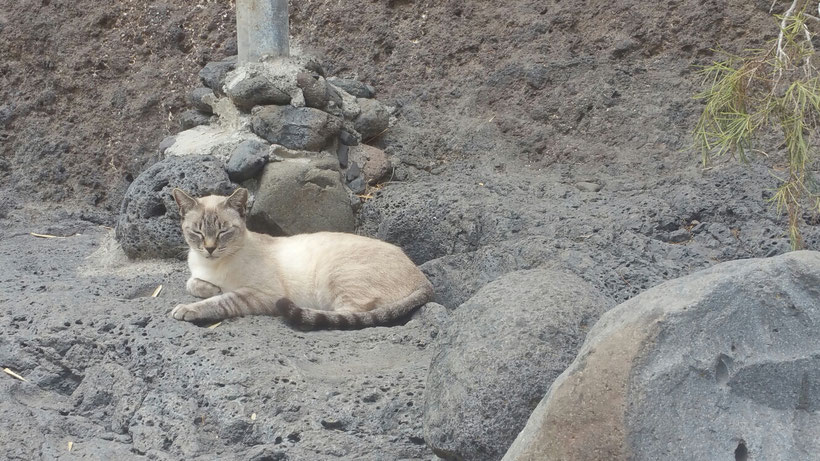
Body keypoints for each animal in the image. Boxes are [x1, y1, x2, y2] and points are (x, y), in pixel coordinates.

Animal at [168, 189, 436, 328]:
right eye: (197, 232)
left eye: (223, 231)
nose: (210, 248)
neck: (212, 264)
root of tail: (423, 279)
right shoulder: (199, 274)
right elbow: (193, 283)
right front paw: (210, 288)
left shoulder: (262, 295)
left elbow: (221, 301)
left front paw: (187, 309)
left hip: (335, 275)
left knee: (345, 316)